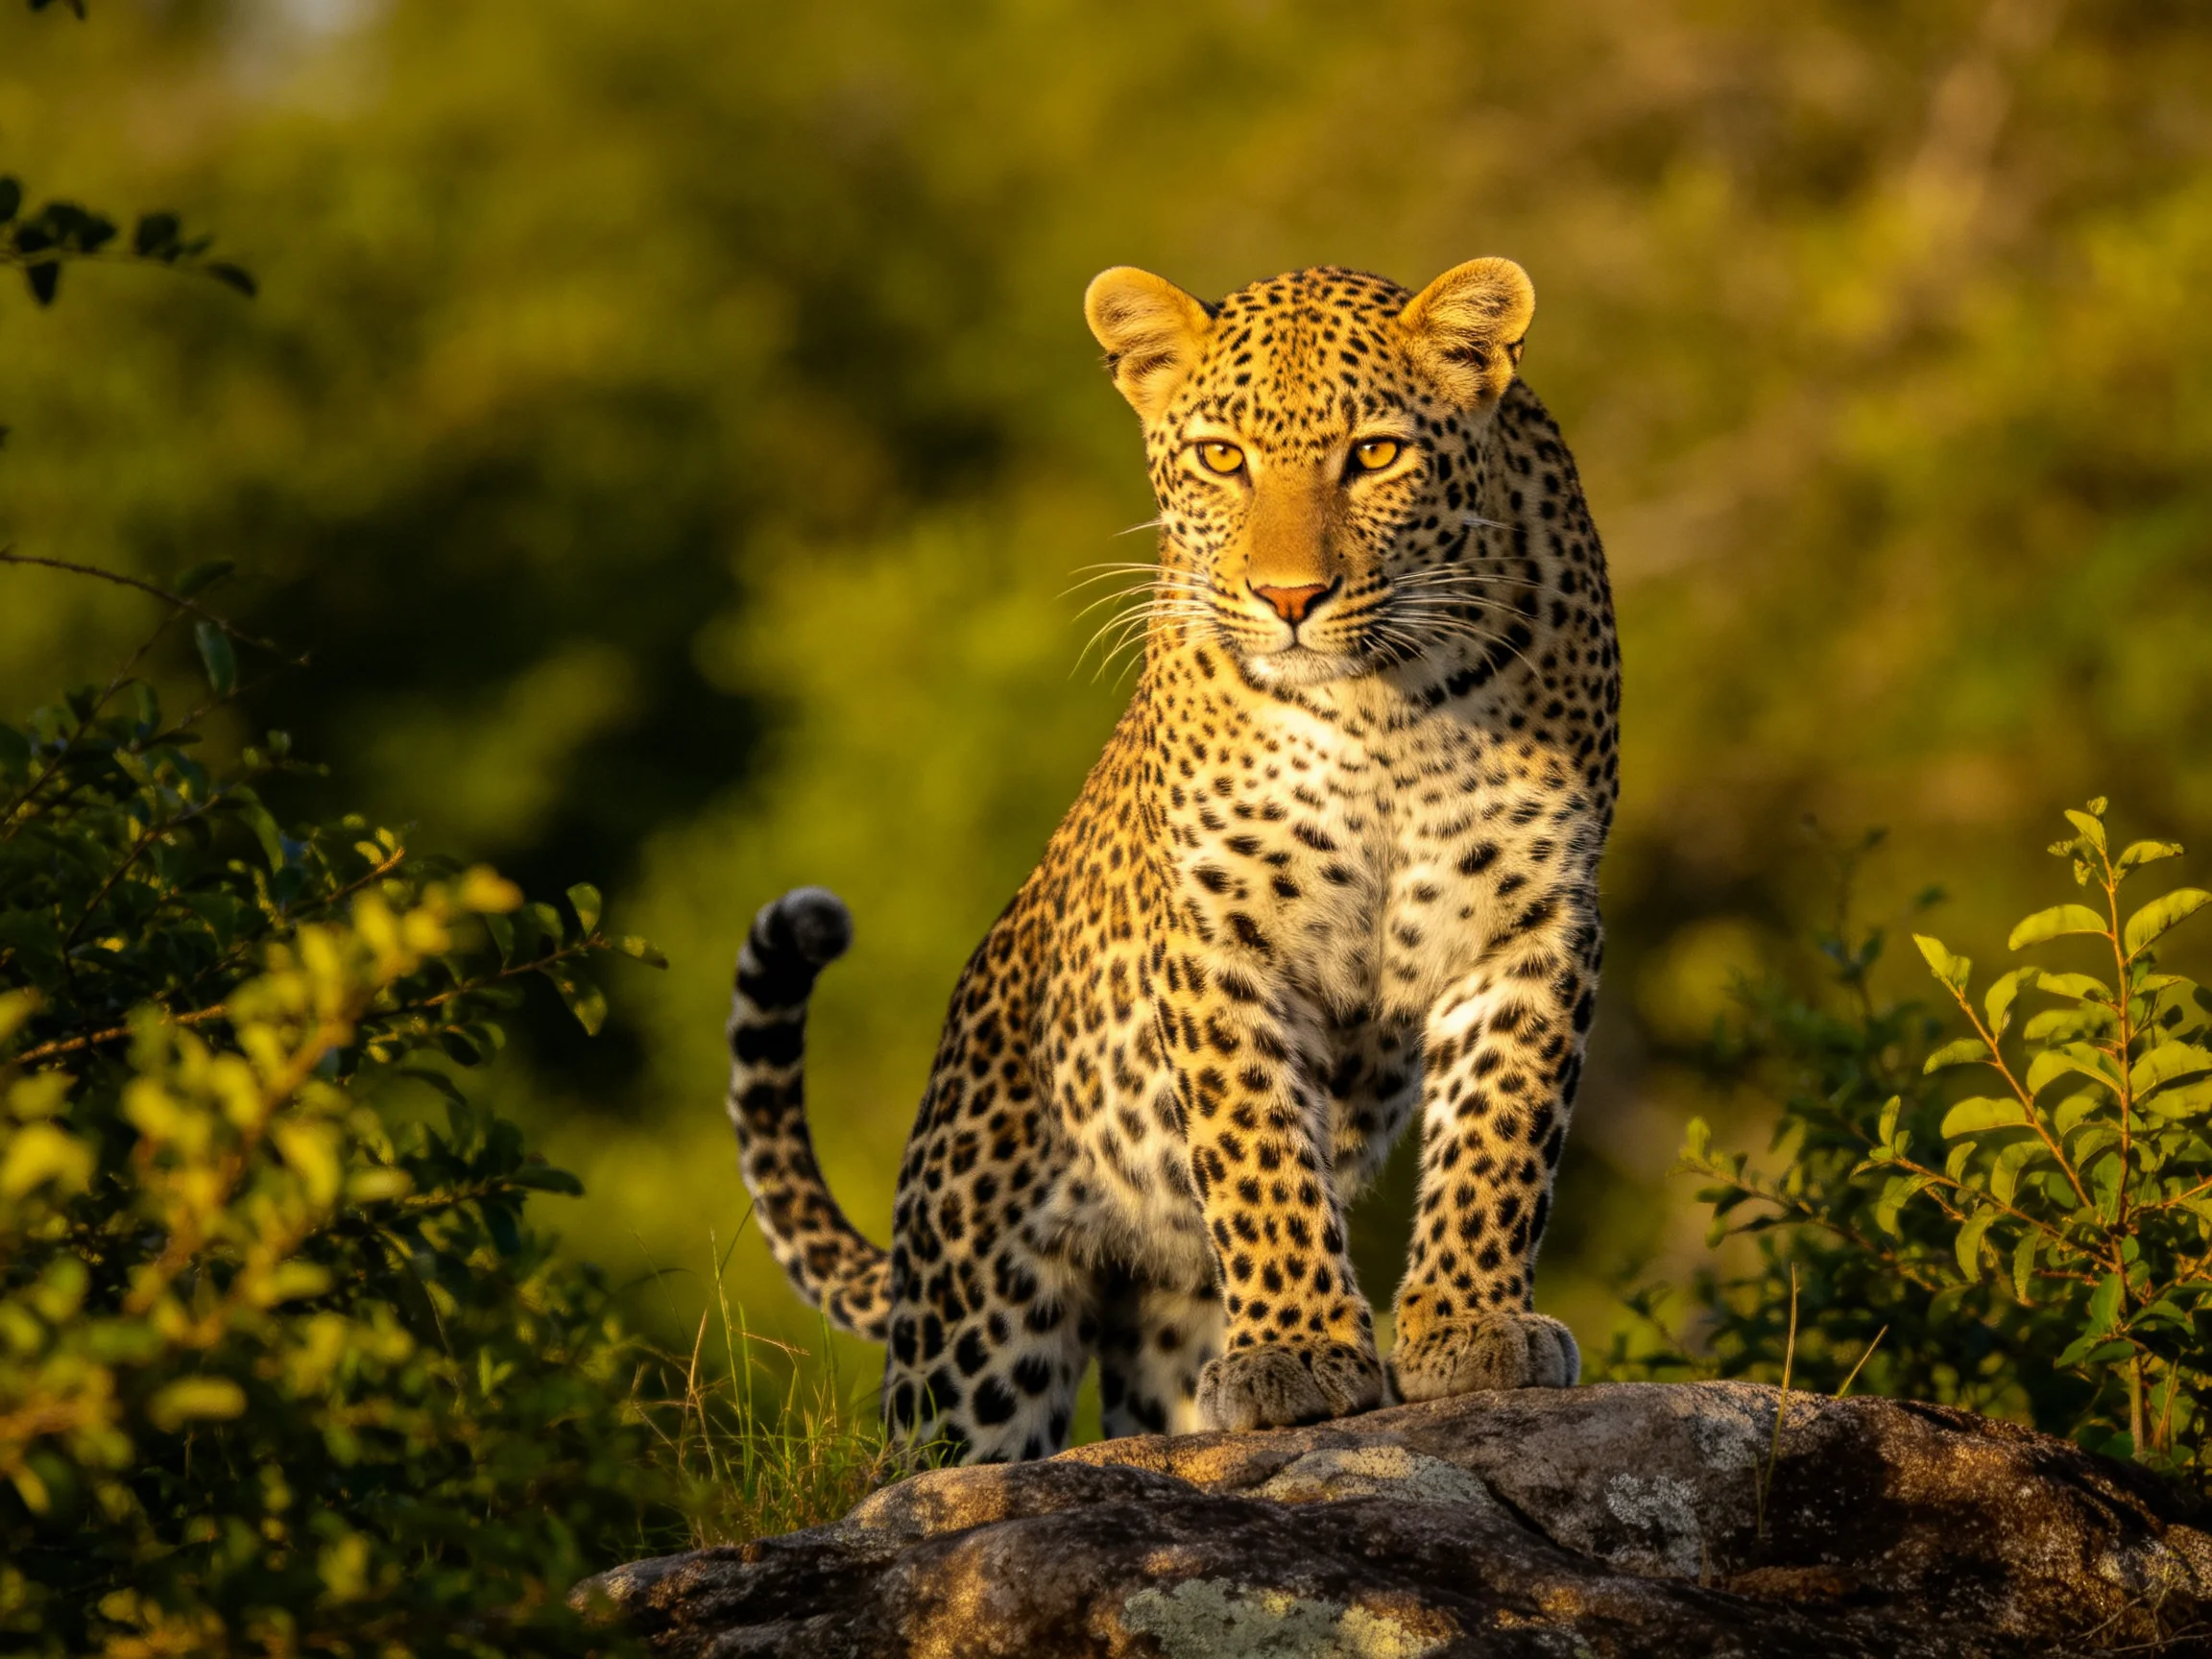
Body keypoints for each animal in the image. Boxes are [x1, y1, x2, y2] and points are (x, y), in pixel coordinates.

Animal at [720, 257, 1618, 1464]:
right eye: (1223, 457)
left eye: (1377, 454)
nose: (1291, 599)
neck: (1382, 707)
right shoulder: (1218, 934)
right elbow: (1258, 1150)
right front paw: (1298, 1353)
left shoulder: (1530, 918)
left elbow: (1502, 1138)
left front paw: (1471, 1328)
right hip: (977, 1337)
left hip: (1154, 1326)